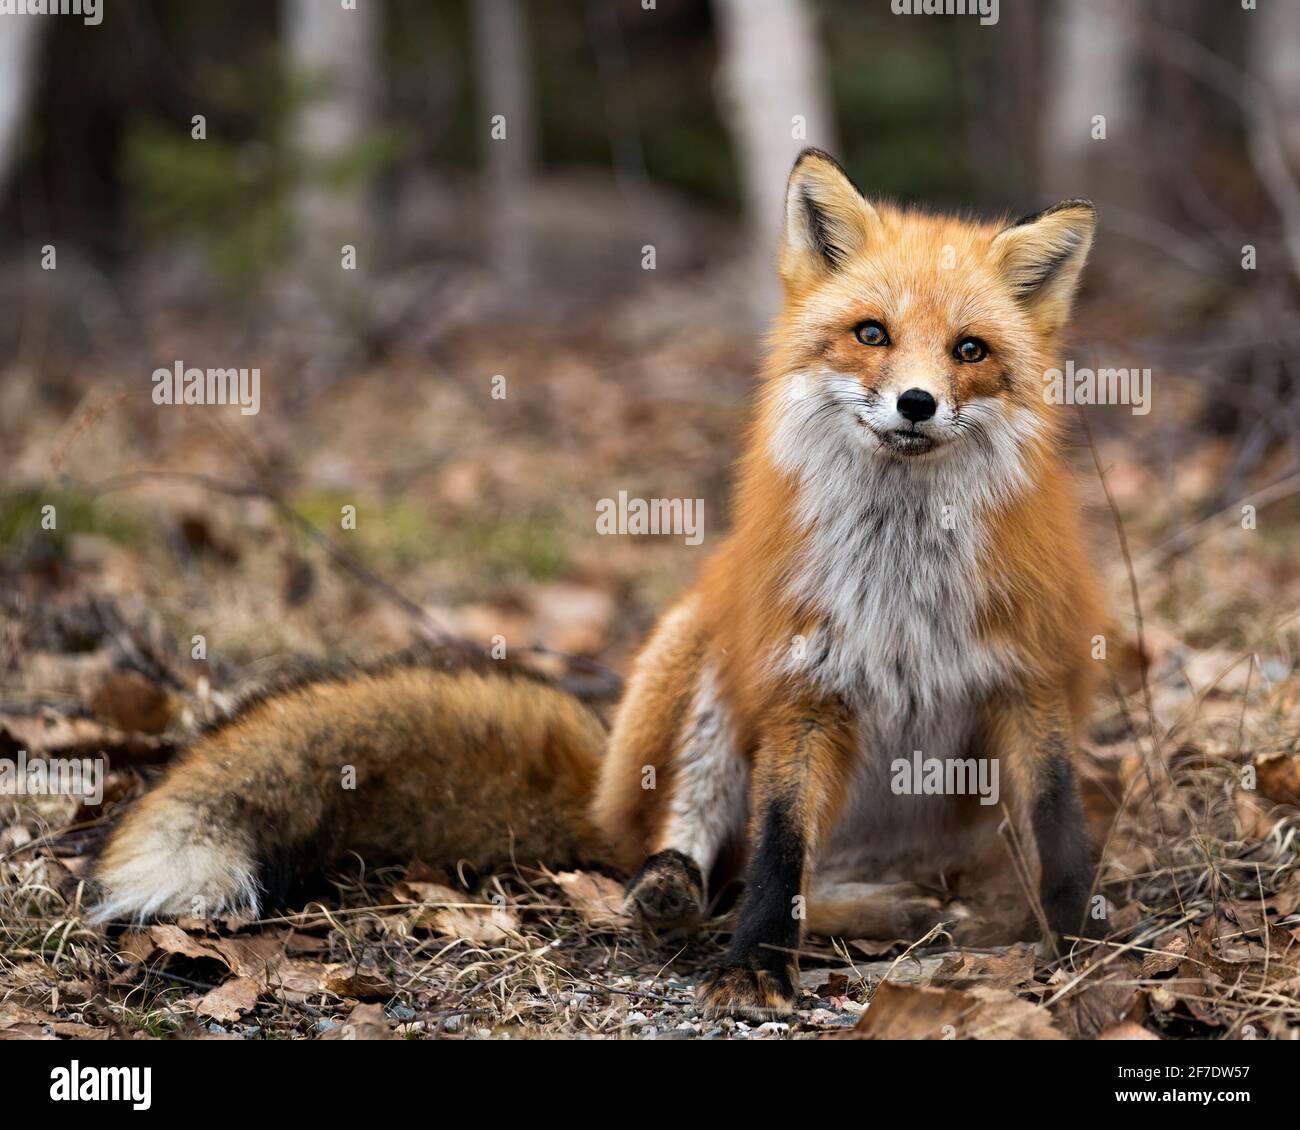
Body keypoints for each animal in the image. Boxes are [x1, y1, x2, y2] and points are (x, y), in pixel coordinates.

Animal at [91, 145, 1107, 1019]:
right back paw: (680, 894)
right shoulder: (802, 690)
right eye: (871, 334)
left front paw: (1085, 955)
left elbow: (1060, 832)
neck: (903, 585)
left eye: (970, 350)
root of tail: (600, 786)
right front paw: (755, 967)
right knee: (707, 867)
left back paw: (897, 912)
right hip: (698, 654)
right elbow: (779, 855)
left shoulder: (1029, 682)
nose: (916, 403)